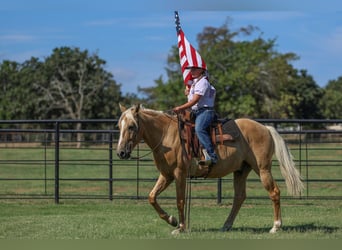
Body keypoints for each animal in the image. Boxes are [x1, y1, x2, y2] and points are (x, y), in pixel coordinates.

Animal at [116, 104, 304, 234]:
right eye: (119, 126)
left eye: (131, 126)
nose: (121, 152)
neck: (166, 135)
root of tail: (265, 128)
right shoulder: (166, 175)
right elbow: (152, 197)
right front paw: (172, 220)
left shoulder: (179, 173)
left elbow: (180, 200)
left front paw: (181, 227)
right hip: (241, 170)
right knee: (239, 197)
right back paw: (226, 226)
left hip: (263, 169)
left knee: (274, 192)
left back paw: (276, 226)